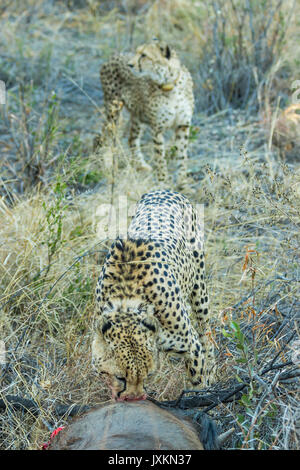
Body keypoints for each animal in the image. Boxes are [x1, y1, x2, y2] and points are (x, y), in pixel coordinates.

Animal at [92, 190, 214, 400]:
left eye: (147, 375)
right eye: (120, 377)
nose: (134, 399)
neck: (128, 300)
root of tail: (163, 190)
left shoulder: (192, 347)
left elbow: (198, 381)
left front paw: (200, 399)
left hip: (199, 288)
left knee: (207, 332)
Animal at [95, 40, 196, 187]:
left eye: (144, 55)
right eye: (137, 53)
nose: (130, 65)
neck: (169, 85)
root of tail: (114, 56)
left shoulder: (182, 125)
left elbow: (182, 156)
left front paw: (182, 183)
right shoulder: (157, 129)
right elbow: (160, 159)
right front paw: (163, 183)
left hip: (138, 116)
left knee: (132, 138)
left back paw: (140, 165)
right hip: (114, 111)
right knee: (103, 137)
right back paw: (104, 165)